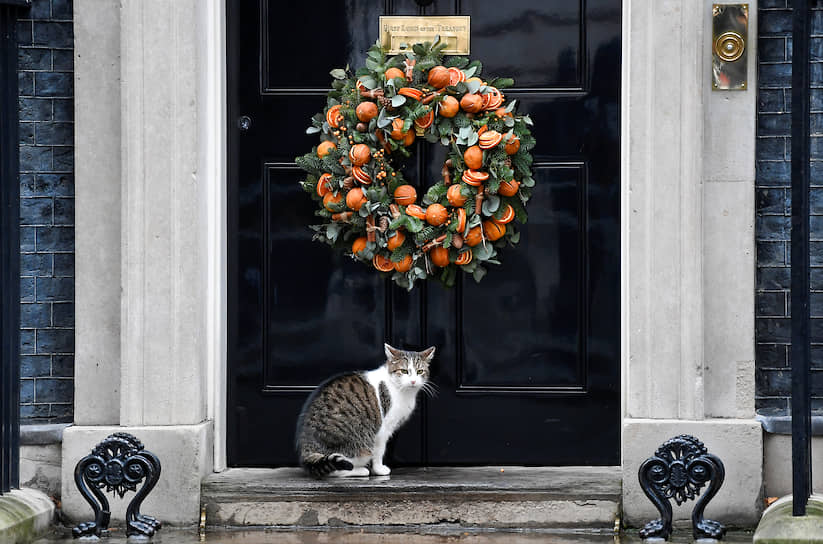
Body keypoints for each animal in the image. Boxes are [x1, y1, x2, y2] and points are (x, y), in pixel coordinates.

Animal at [296, 344, 438, 476]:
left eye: (420, 371)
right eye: (404, 371)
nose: (413, 381)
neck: (403, 391)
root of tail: (307, 447)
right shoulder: (383, 429)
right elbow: (379, 451)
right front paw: (379, 469)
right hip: (358, 443)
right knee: (338, 468)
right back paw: (361, 470)